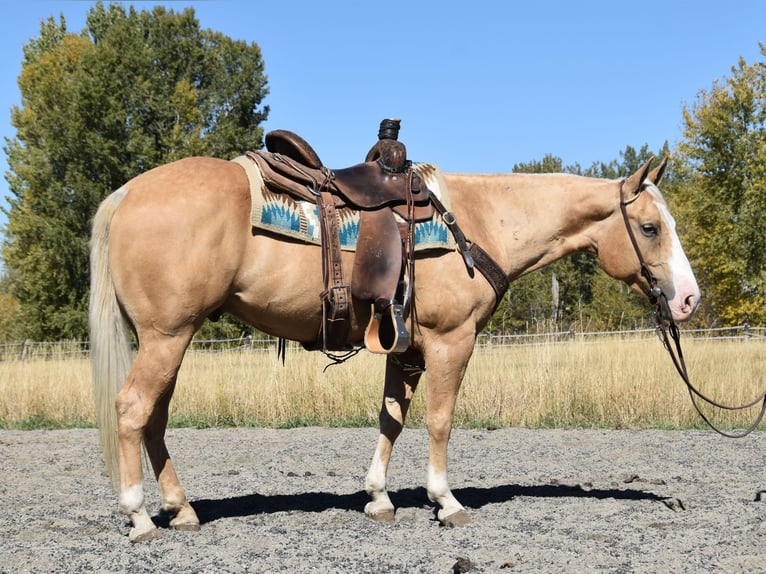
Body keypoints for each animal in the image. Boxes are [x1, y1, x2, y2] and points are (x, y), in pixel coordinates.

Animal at [89, 153, 700, 542]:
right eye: (649, 227)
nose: (689, 299)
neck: (479, 221)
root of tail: (127, 192)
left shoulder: (404, 347)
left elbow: (392, 419)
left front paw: (379, 497)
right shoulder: (452, 342)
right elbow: (439, 420)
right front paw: (446, 502)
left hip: (168, 339)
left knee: (154, 418)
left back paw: (181, 509)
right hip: (168, 337)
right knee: (133, 410)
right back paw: (139, 517)